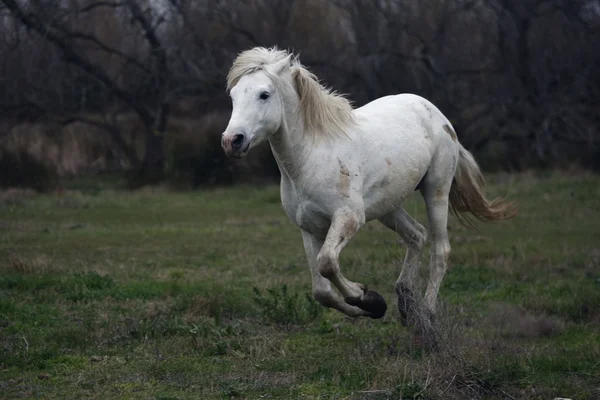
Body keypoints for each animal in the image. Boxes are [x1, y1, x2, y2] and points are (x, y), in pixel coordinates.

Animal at [221, 46, 516, 328]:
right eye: (233, 96)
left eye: (264, 94)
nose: (232, 141)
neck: (311, 156)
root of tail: (436, 113)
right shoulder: (309, 228)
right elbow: (321, 291)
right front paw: (373, 304)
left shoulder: (349, 217)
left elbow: (328, 263)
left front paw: (366, 297)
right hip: (389, 207)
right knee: (417, 236)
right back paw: (406, 305)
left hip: (436, 189)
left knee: (440, 250)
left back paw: (427, 313)